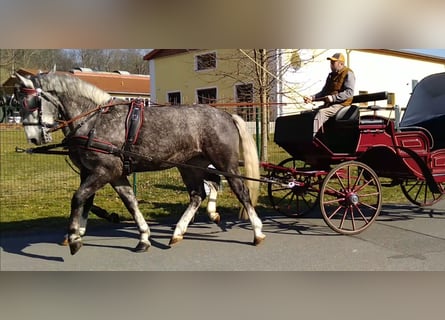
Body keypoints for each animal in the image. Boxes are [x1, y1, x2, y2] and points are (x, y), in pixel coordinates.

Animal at [17, 72, 264, 255]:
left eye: (33, 102)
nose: (33, 138)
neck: (94, 121)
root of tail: (225, 115)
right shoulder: (107, 173)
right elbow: (125, 202)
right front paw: (143, 238)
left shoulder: (104, 171)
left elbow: (79, 197)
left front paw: (75, 237)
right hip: (190, 166)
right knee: (198, 194)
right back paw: (178, 232)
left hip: (225, 164)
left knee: (240, 191)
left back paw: (257, 232)